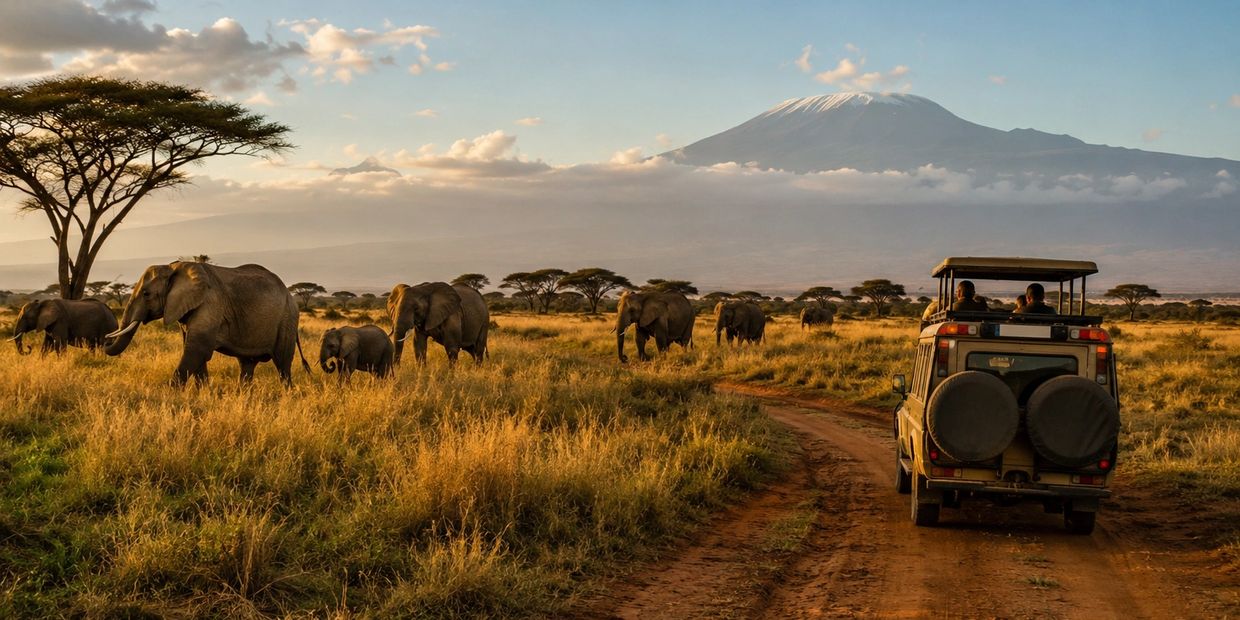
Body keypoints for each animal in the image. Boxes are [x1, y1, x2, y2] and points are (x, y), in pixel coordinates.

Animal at [105, 262, 310, 386]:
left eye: (146, 294)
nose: (106, 339)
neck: (173, 267)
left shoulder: (210, 303)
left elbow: (197, 349)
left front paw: (170, 394)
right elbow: (194, 350)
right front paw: (203, 394)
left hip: (287, 319)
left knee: (283, 364)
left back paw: (286, 395)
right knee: (247, 364)